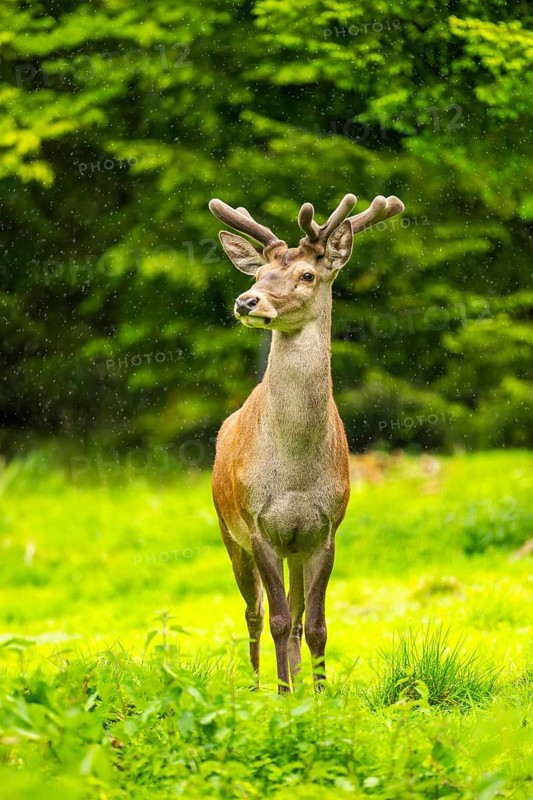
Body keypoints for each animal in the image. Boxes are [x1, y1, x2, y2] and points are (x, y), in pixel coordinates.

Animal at [209, 192, 404, 692]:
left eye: (307, 275)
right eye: (258, 274)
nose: (246, 301)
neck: (295, 475)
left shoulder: (326, 527)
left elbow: (315, 623)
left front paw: (318, 694)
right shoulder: (258, 522)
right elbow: (277, 619)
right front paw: (281, 695)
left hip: (293, 547)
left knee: (296, 614)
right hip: (228, 529)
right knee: (254, 613)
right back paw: (257, 685)